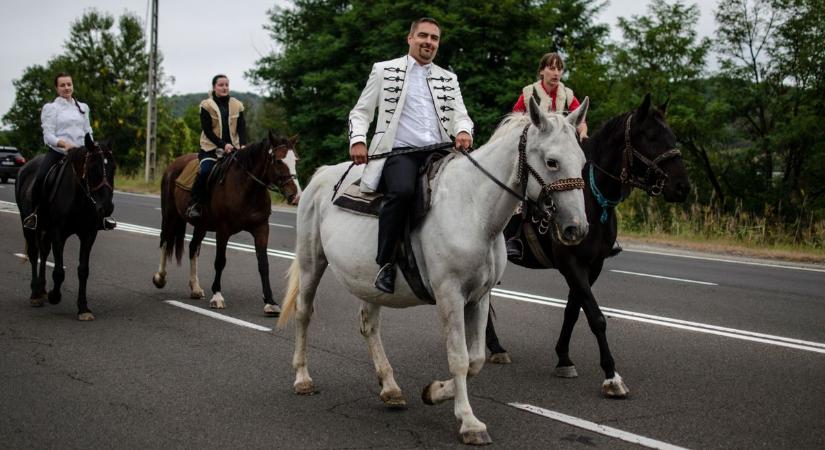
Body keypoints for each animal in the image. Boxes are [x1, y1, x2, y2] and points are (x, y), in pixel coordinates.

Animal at [15, 134, 115, 320]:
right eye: (92, 168)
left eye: (113, 167)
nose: (106, 208)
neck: (79, 197)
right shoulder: (58, 233)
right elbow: (59, 270)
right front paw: (55, 296)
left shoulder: (89, 234)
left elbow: (83, 270)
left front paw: (83, 308)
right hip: (29, 226)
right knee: (34, 254)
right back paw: (35, 295)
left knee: (43, 253)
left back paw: (42, 289)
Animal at [152, 131, 300, 316]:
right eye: (279, 161)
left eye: (296, 160)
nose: (296, 196)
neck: (246, 187)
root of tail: (174, 164)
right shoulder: (223, 230)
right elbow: (220, 261)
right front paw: (217, 297)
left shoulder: (261, 229)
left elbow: (263, 264)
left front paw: (270, 302)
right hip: (170, 215)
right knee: (165, 240)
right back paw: (160, 278)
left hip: (201, 225)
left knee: (193, 247)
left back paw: (195, 288)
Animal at [280, 96, 588, 444]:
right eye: (552, 162)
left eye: (582, 161)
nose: (577, 228)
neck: (474, 209)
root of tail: (320, 176)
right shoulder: (449, 296)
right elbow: (459, 359)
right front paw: (468, 421)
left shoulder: (479, 297)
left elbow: (476, 359)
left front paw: (434, 392)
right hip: (311, 262)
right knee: (304, 312)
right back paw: (303, 378)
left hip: (368, 282)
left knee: (369, 326)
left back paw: (390, 388)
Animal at [490, 94, 688, 398]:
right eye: (651, 137)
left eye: (673, 136)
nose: (682, 187)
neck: (591, 200)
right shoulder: (570, 264)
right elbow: (596, 317)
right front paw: (611, 376)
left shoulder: (593, 266)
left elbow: (573, 311)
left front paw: (563, 358)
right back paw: (494, 347)